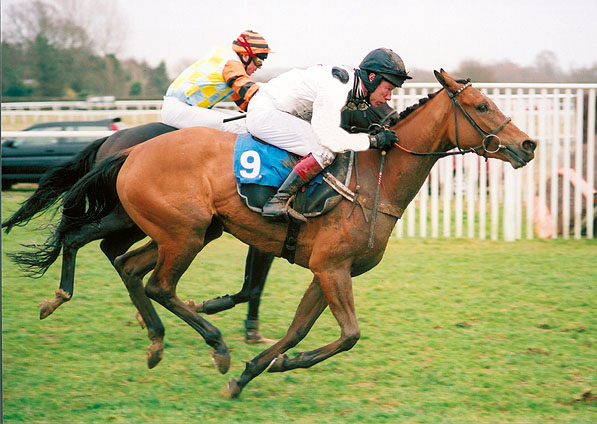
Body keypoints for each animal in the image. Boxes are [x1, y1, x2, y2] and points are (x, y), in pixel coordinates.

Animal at [43, 69, 536, 398]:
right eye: (481, 106)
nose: (528, 145)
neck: (373, 177)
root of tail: (131, 151)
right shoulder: (331, 267)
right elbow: (349, 333)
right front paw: (270, 361)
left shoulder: (330, 270)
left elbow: (301, 328)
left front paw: (256, 371)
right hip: (184, 235)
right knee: (155, 282)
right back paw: (213, 344)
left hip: (184, 232)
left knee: (127, 265)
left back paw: (156, 341)